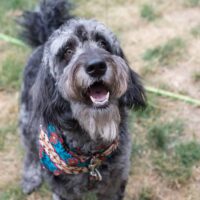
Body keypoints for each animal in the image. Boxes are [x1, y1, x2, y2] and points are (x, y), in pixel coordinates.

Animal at [18, 0, 145, 199]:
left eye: (102, 42)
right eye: (67, 51)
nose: (96, 66)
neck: (90, 156)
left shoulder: (115, 183)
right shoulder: (63, 191)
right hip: (26, 120)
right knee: (30, 151)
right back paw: (30, 177)